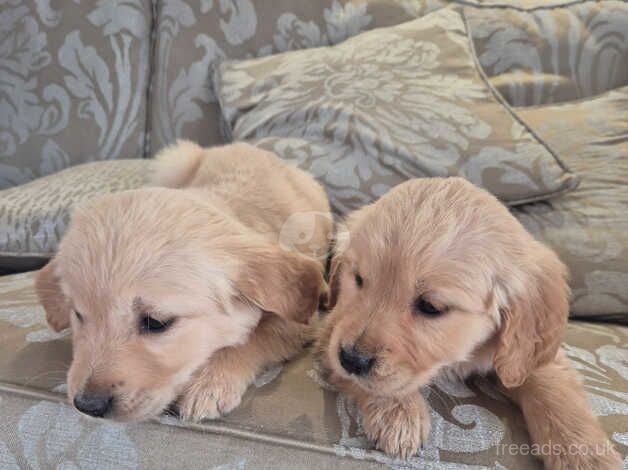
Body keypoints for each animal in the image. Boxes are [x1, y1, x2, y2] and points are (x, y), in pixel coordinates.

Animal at [36, 140, 332, 422]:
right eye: (78, 314)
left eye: (156, 323)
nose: (88, 405)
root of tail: (250, 147)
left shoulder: (300, 321)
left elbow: (257, 336)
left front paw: (210, 382)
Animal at [316, 177, 620, 470]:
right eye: (358, 279)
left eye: (431, 307)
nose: (351, 359)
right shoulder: (331, 330)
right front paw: (398, 413)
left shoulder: (524, 355)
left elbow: (550, 385)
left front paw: (586, 455)